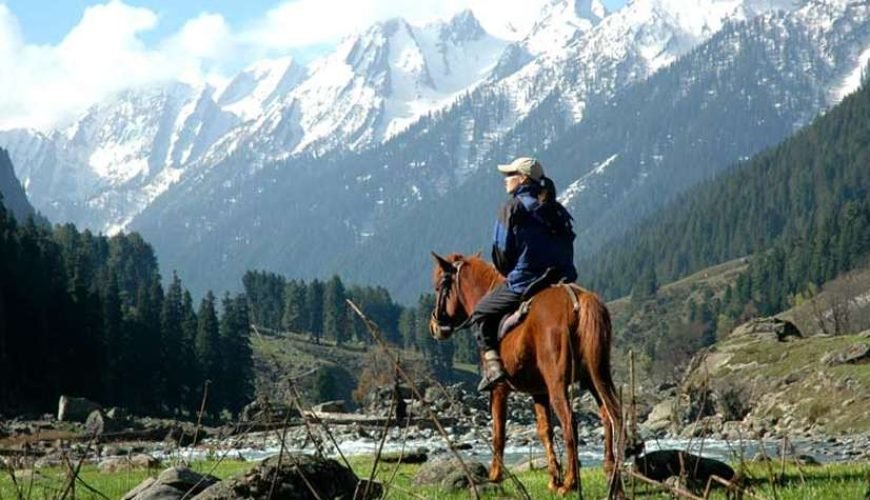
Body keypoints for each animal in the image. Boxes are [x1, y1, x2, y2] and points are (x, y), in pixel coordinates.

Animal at [430, 252, 624, 494]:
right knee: (609, 416)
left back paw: (571, 483)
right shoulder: (538, 392)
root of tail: (577, 300)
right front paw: (553, 479)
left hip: (558, 385)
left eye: (439, 286)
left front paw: (494, 476)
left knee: (570, 424)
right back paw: (611, 478)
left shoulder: (499, 389)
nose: (434, 326)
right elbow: (544, 430)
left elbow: (498, 432)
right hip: (596, 377)